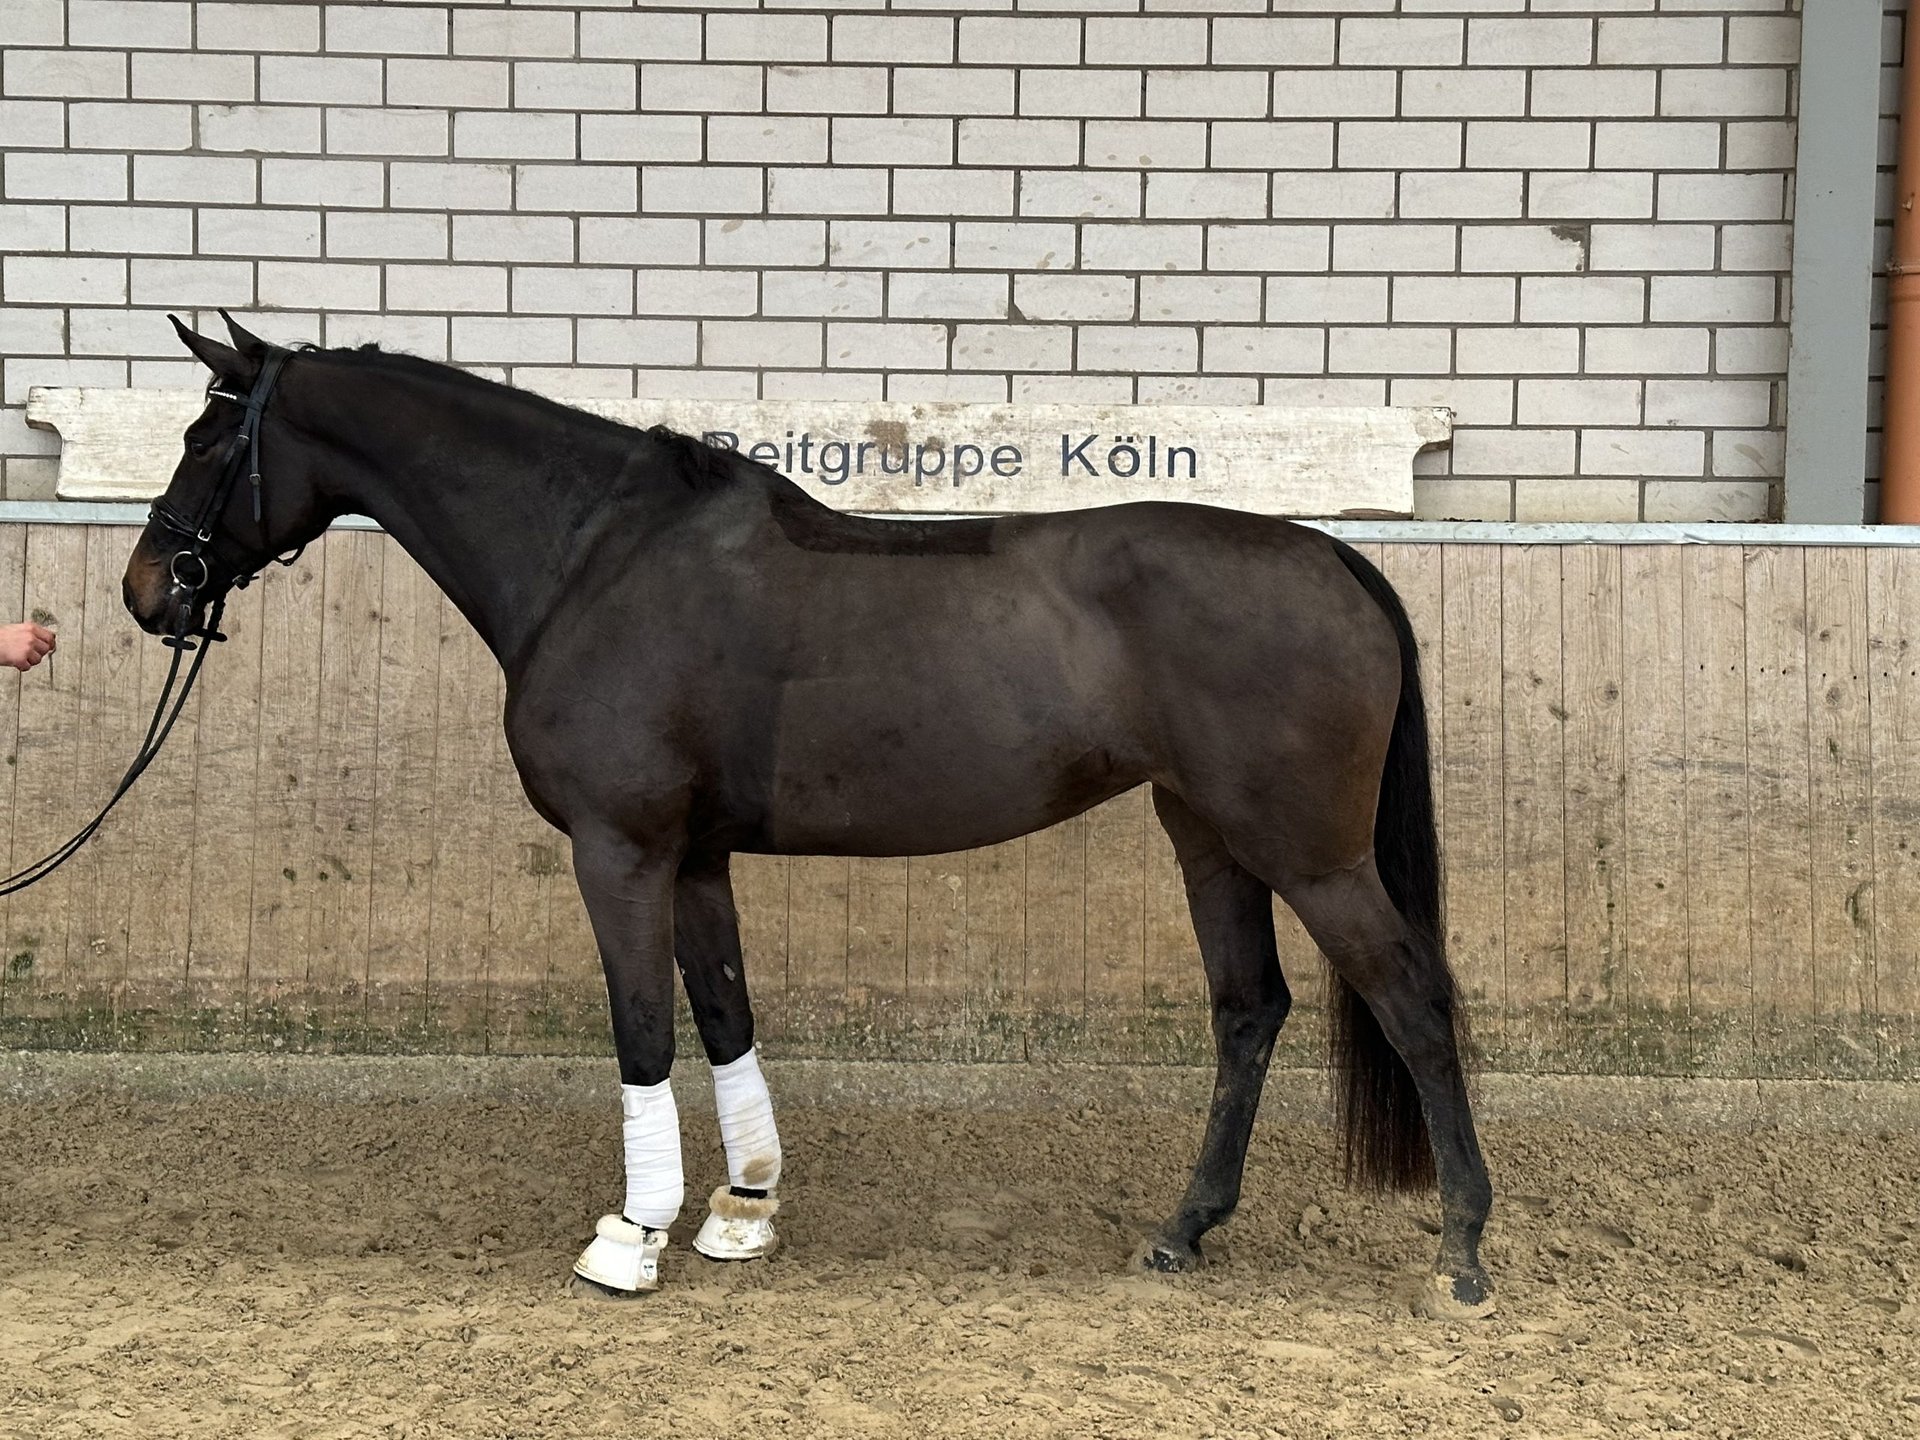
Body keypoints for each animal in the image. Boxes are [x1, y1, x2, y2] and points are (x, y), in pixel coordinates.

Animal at [123, 320, 1497, 1328]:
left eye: (206, 435)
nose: (149, 590)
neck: (596, 557)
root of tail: (1330, 558)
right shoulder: (695, 858)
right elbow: (724, 1013)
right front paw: (742, 1210)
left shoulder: (620, 851)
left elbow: (640, 1026)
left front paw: (632, 1238)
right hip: (1207, 836)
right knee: (1248, 1009)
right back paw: (1185, 1230)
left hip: (1311, 853)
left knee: (1416, 1002)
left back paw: (1464, 1255)